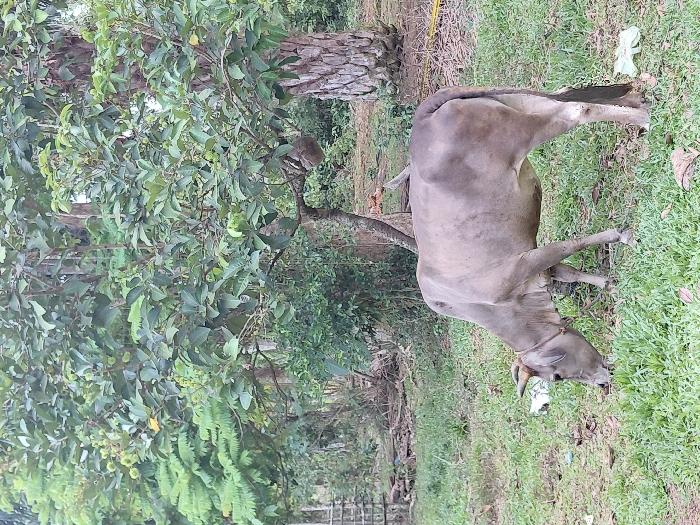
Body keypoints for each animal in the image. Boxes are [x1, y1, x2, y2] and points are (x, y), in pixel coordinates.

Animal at [408, 85, 650, 397]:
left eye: (556, 376)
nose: (602, 382)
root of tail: (423, 118)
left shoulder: (522, 264)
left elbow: (567, 247)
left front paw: (621, 236)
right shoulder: (535, 266)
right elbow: (568, 272)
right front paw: (610, 284)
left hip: (521, 131)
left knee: (576, 110)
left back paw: (642, 118)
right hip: (522, 103)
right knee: (567, 96)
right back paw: (637, 102)